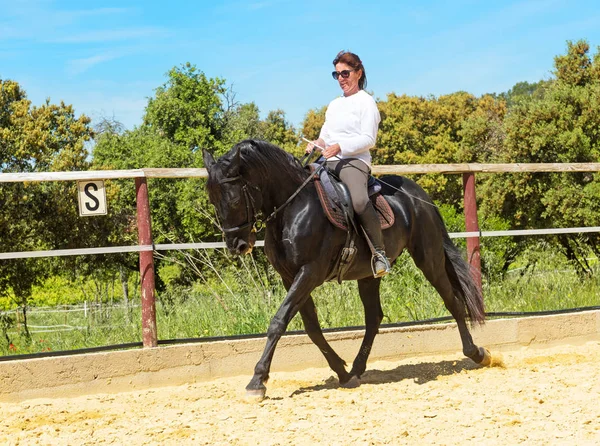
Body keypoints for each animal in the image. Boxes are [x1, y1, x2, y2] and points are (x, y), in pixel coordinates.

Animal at [203, 140, 492, 400]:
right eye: (212, 199)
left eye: (234, 198)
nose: (237, 245)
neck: (294, 208)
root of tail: (418, 195)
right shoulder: (290, 277)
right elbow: (312, 328)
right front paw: (341, 372)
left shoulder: (309, 273)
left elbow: (278, 322)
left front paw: (257, 381)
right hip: (369, 275)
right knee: (374, 318)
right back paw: (356, 369)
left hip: (428, 258)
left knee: (453, 301)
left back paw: (477, 353)